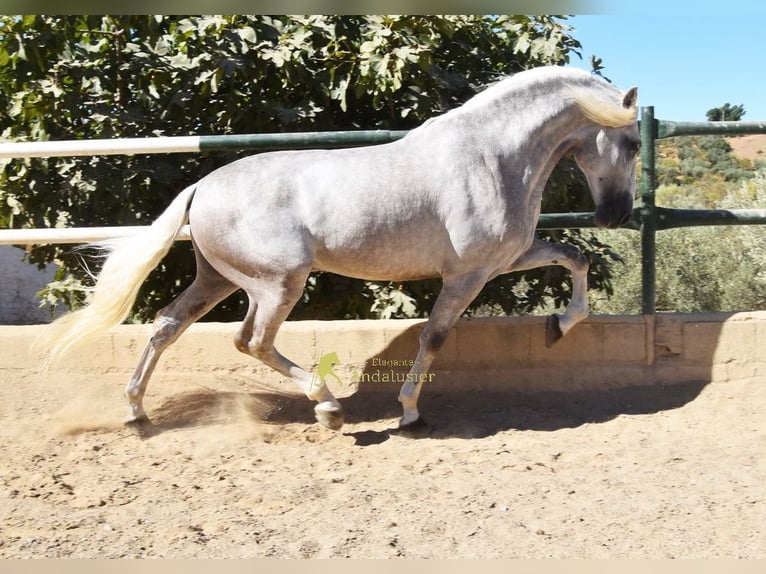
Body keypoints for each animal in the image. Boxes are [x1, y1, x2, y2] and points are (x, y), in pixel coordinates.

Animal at [38, 66, 639, 435]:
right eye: (633, 143)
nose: (617, 215)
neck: (491, 157)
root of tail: (201, 188)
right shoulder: (467, 275)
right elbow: (434, 336)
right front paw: (410, 415)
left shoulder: (506, 258)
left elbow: (575, 258)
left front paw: (560, 326)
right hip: (277, 283)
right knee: (251, 341)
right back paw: (327, 407)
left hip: (218, 279)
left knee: (166, 325)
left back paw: (137, 414)